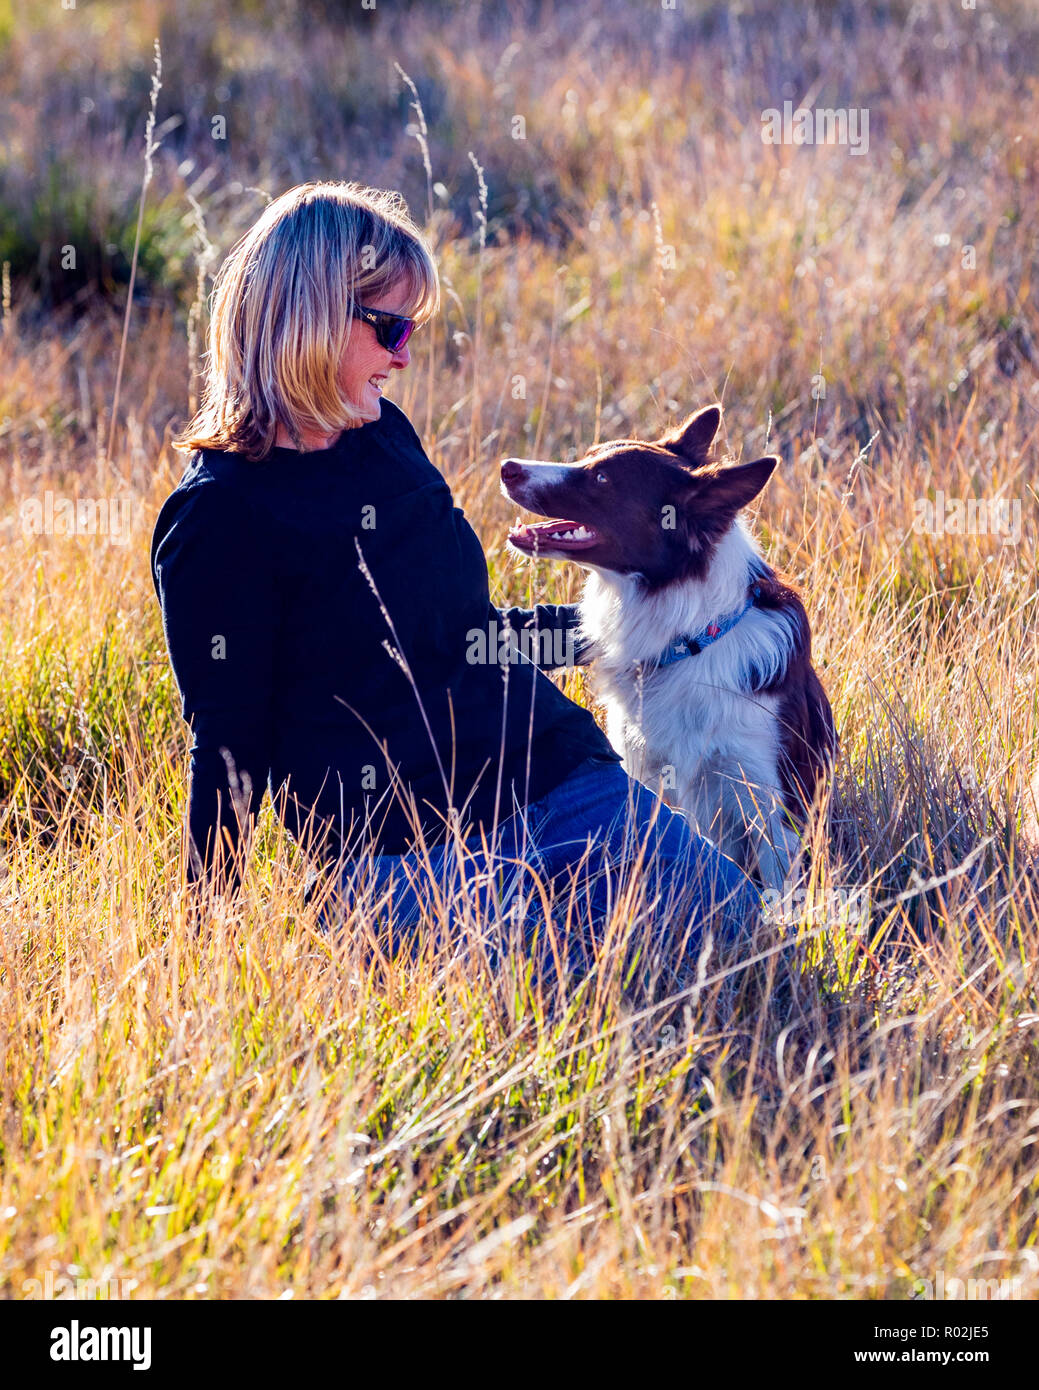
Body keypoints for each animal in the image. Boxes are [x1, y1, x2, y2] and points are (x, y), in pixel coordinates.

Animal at [500, 403, 834, 889]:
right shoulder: (653, 771)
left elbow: (780, 886)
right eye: (588, 456)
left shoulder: (769, 799)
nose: (507, 467)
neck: (691, 638)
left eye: (602, 479)